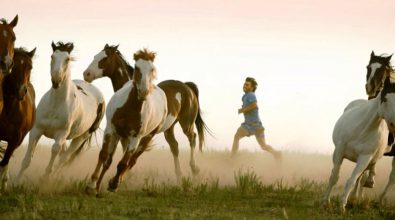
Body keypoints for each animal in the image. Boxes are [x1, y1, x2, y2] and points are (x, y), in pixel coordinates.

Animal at [17, 41, 105, 179]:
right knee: (63, 155)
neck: (55, 105)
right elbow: (27, 160)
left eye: (67, 59)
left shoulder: (61, 135)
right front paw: (16, 180)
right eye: (52, 56)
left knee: (64, 158)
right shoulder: (36, 130)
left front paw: (45, 177)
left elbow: (54, 151)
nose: (56, 81)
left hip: (81, 137)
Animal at [86, 48, 169, 194]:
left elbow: (123, 163)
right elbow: (105, 157)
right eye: (137, 67)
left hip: (146, 138)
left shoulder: (134, 137)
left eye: (152, 69)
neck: (130, 106)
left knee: (132, 160)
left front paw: (112, 184)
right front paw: (93, 186)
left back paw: (116, 182)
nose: (87, 74)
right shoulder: (112, 131)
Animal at [324, 76, 395, 212]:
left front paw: (342, 206)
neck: (363, 129)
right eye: (385, 98)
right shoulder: (340, 150)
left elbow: (352, 180)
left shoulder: (365, 157)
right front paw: (325, 201)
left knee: (367, 178)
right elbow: (334, 176)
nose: (394, 123)